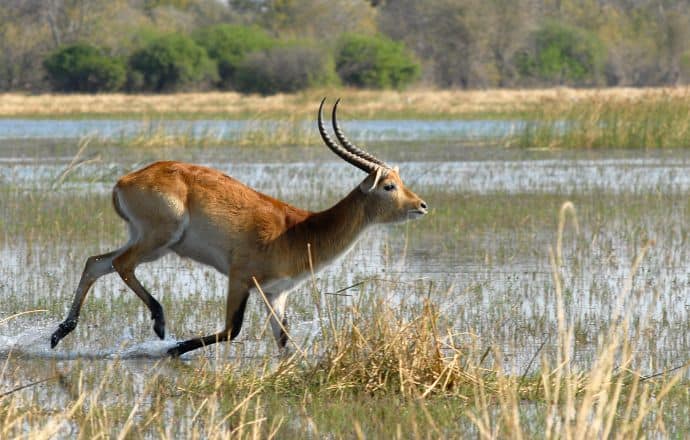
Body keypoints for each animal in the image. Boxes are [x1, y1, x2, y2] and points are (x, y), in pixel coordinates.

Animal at [49, 99, 424, 358]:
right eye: (389, 185)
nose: (421, 205)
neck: (300, 230)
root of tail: (125, 180)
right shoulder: (240, 277)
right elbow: (233, 329)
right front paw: (174, 349)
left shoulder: (276, 293)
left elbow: (284, 340)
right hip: (161, 239)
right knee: (120, 264)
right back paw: (159, 323)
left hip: (148, 241)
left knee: (97, 262)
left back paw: (59, 333)